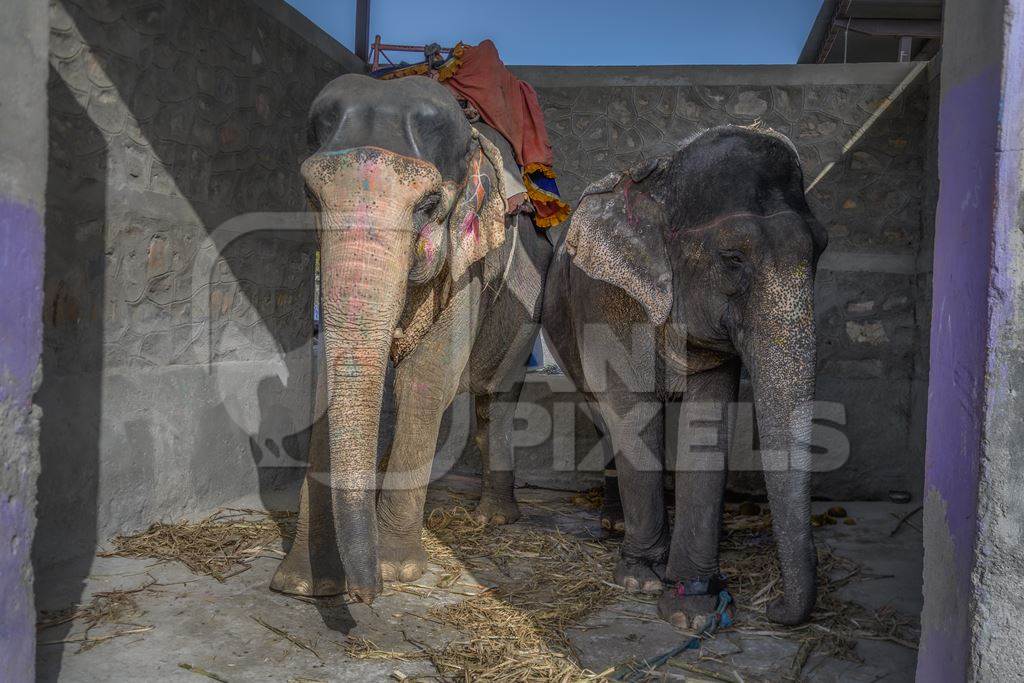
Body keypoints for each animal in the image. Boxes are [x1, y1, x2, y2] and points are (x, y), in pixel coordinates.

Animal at [274, 72, 552, 602]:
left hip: (528, 308)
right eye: (311, 196)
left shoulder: (469, 265)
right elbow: (327, 378)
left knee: (496, 398)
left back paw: (494, 518)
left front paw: (395, 570)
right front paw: (303, 583)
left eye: (429, 205)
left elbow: (425, 380)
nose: (365, 595)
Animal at [544, 125, 823, 626]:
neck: (662, 183)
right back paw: (615, 526)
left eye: (823, 247)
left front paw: (691, 606)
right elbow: (631, 408)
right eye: (732, 257)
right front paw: (640, 579)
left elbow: (706, 423)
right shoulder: (609, 298)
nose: (772, 607)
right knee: (603, 415)